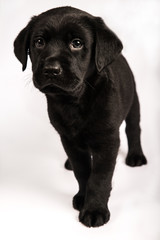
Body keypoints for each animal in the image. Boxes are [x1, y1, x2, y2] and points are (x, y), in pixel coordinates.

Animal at [13, 5, 146, 227]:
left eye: (77, 43)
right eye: (39, 42)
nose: (51, 70)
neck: (74, 101)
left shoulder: (108, 141)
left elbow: (99, 177)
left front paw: (94, 210)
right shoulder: (68, 139)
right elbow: (82, 171)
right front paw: (83, 198)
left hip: (133, 102)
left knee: (133, 129)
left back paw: (136, 156)